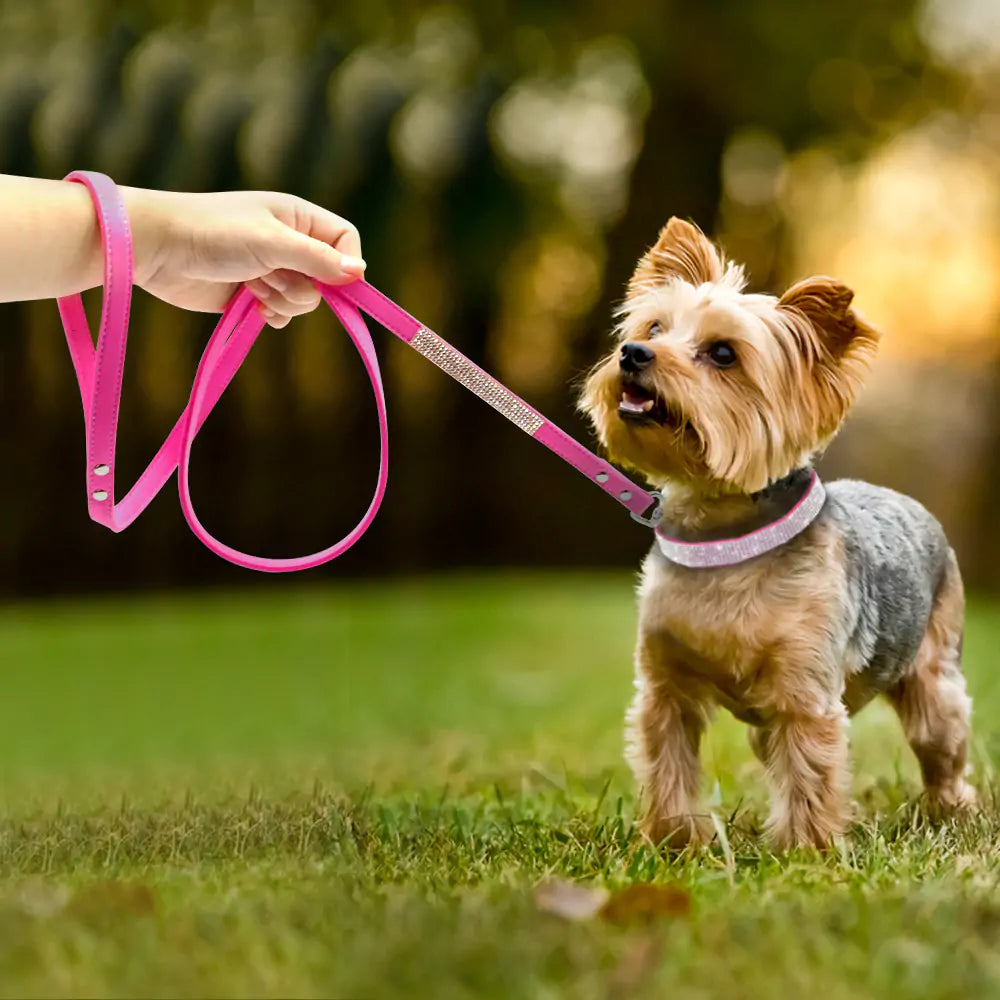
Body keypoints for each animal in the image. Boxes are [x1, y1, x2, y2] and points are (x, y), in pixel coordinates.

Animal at [580, 219, 976, 852]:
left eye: (723, 354)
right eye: (654, 328)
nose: (632, 353)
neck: (723, 540)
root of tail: (905, 498)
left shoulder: (804, 691)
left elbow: (810, 770)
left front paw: (805, 851)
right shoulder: (664, 686)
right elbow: (668, 759)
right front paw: (672, 840)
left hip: (935, 677)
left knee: (941, 741)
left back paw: (950, 809)